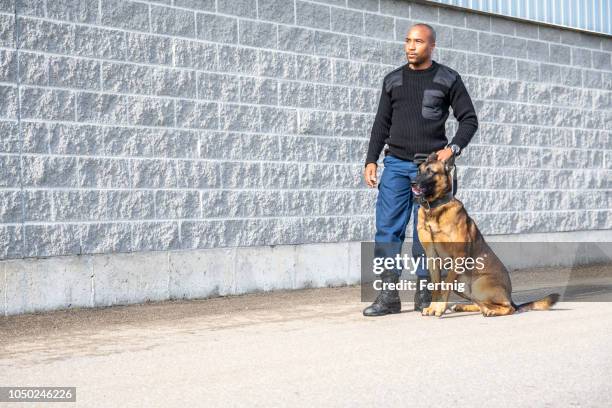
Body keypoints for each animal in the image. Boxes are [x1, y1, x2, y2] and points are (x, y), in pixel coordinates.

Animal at [406, 151, 560, 318]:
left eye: (430, 172)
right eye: (419, 170)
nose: (412, 183)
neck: (435, 209)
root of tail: (510, 297)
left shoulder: (458, 256)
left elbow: (445, 286)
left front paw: (439, 308)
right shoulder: (432, 256)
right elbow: (436, 287)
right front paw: (432, 307)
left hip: (479, 284)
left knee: (507, 307)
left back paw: (491, 311)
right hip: (462, 285)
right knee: (479, 303)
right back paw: (467, 307)